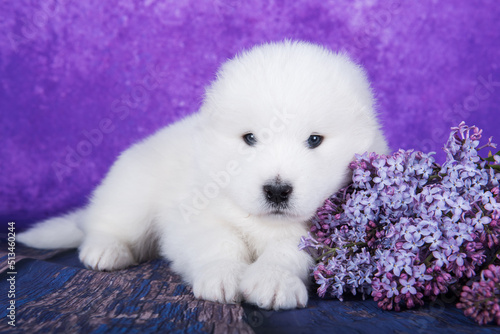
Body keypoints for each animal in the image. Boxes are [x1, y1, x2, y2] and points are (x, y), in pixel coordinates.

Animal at [18, 40, 386, 310]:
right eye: (249, 138)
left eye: (314, 140)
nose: (277, 190)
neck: (260, 220)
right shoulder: (192, 216)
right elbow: (219, 241)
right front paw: (224, 276)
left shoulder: (323, 237)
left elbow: (287, 251)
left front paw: (272, 280)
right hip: (132, 193)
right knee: (105, 224)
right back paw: (105, 250)